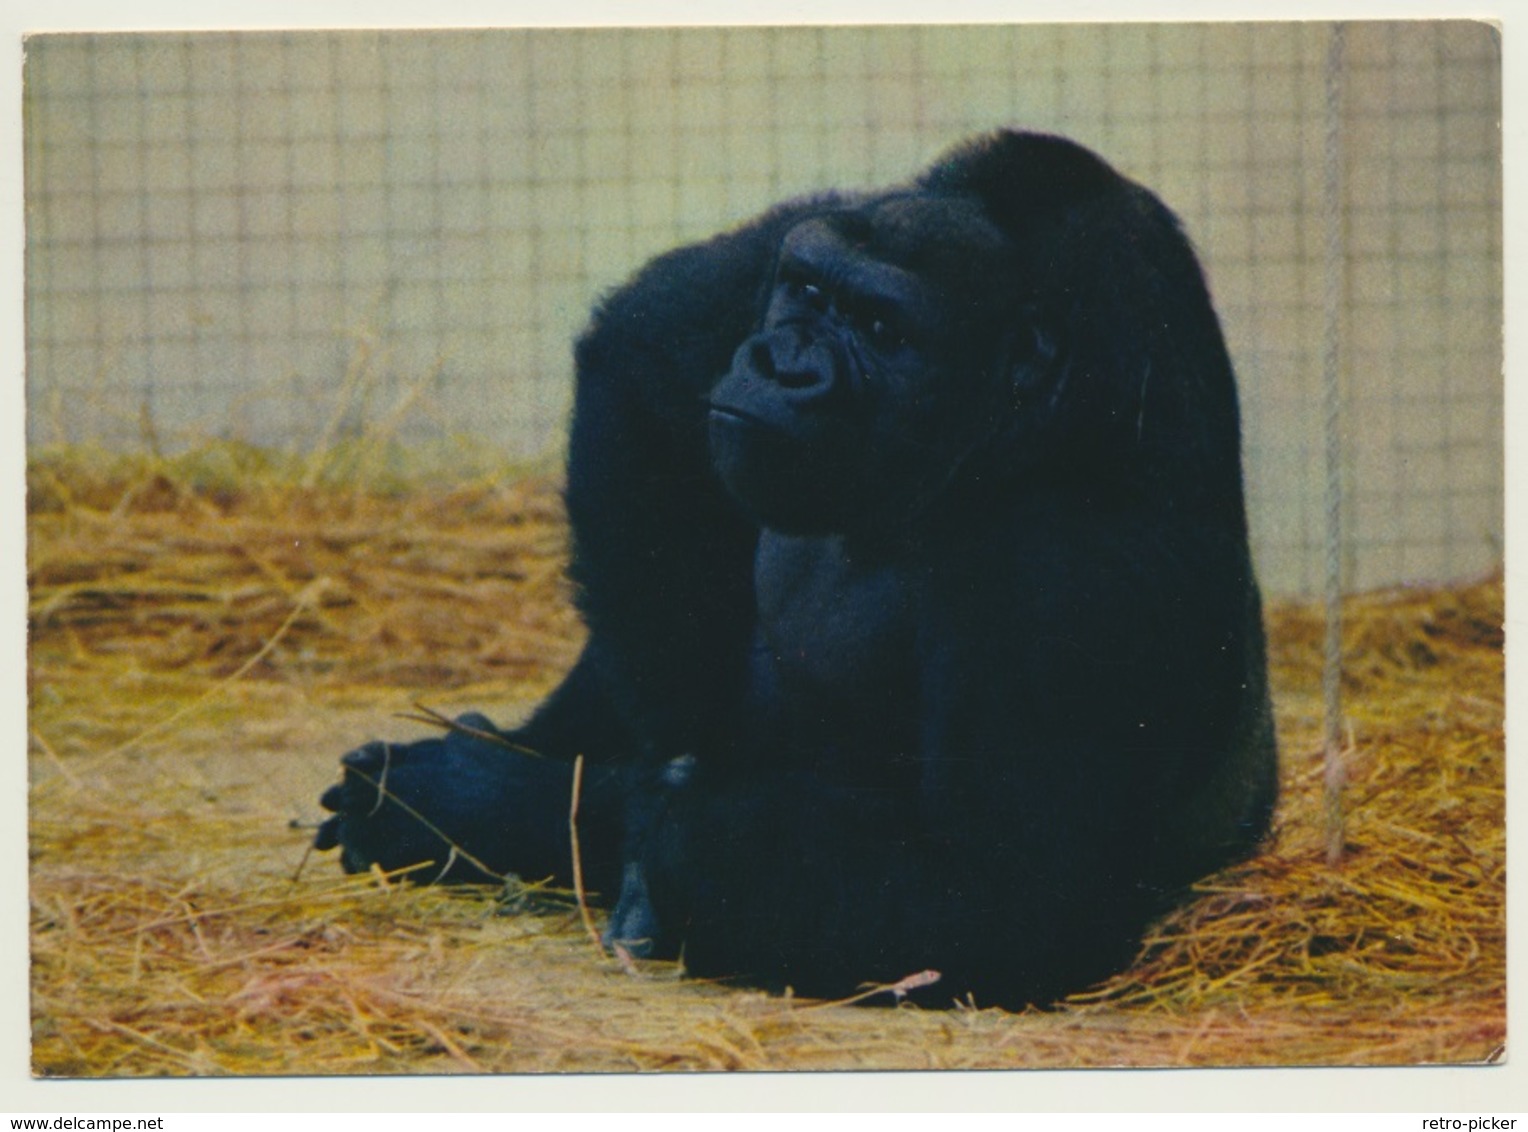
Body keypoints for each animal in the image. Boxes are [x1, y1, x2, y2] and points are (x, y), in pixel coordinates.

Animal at [316, 132, 1283, 1008]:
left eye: (884, 330)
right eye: (810, 293)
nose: (781, 361)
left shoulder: (1070, 578)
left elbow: (1000, 900)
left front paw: (524, 804)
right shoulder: (819, 232)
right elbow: (651, 336)